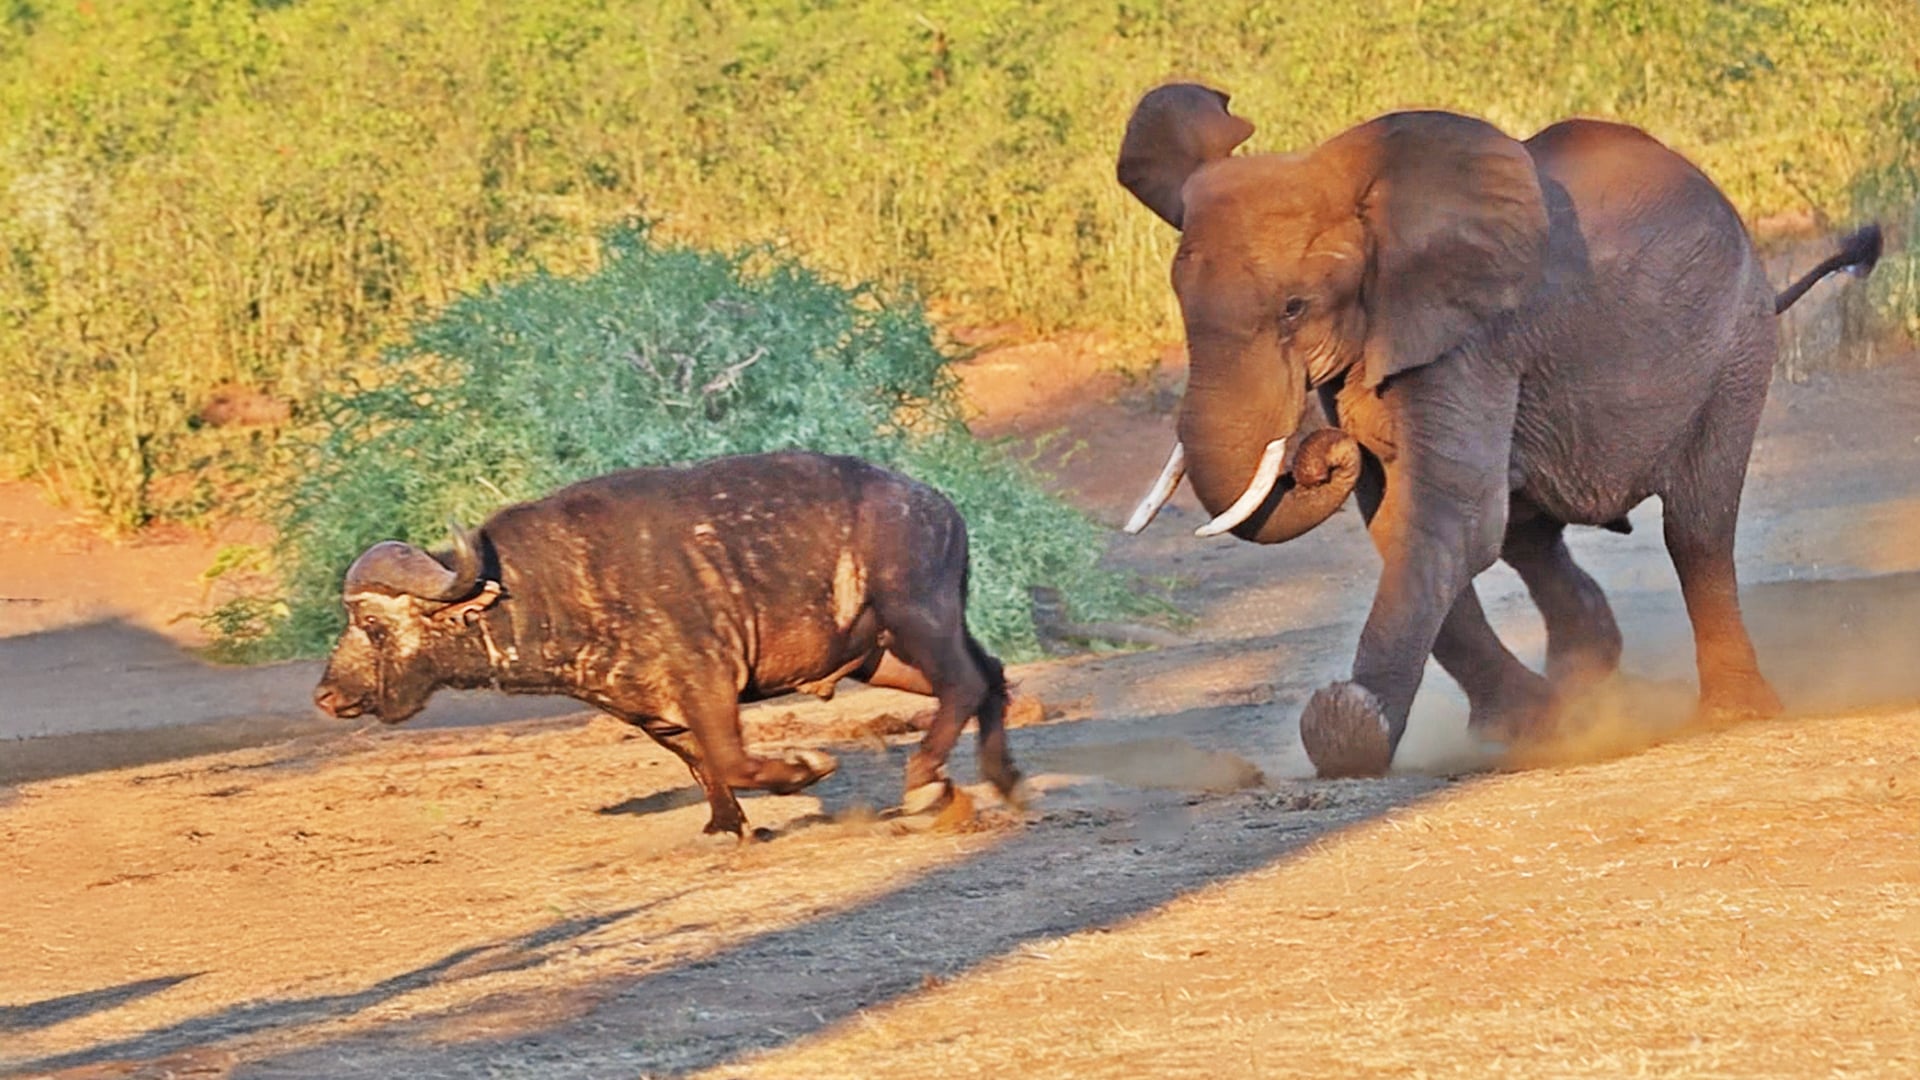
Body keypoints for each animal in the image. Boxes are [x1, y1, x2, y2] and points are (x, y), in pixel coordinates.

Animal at [312, 450, 1023, 838]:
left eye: (371, 625)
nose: (326, 695)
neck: (552, 584)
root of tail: (937, 506)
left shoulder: (708, 686)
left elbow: (734, 762)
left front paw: (805, 766)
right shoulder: (655, 716)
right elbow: (705, 770)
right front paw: (728, 828)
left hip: (916, 616)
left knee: (965, 682)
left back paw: (928, 782)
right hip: (880, 657)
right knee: (989, 674)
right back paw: (1001, 779)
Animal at [1114, 83, 1883, 778]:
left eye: (1294, 308)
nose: (1315, 451)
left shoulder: (1473, 338)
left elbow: (1445, 517)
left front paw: (1346, 728)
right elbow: (1401, 515)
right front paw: (1532, 726)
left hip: (1736, 348)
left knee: (1695, 526)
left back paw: (1731, 712)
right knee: (1529, 534)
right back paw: (1585, 690)